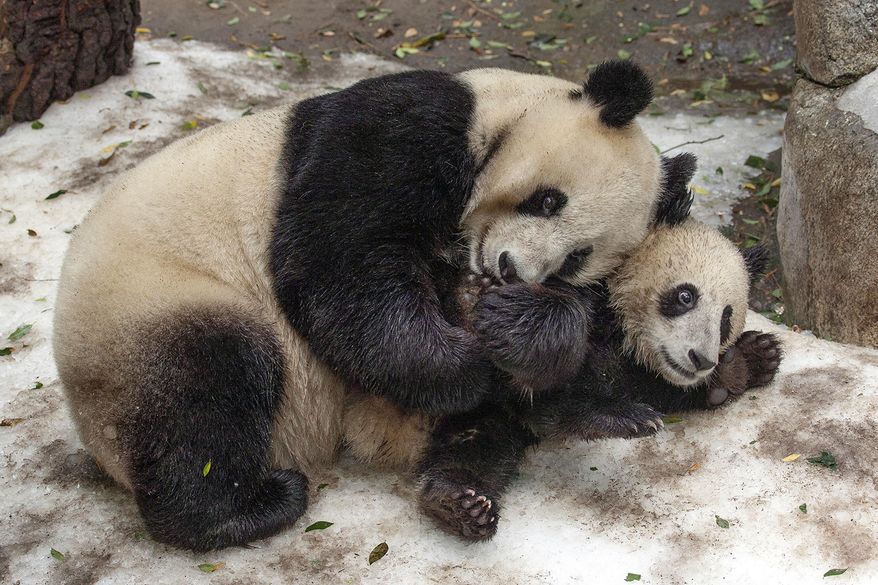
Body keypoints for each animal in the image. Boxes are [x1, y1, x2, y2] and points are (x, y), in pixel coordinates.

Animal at [53, 61, 680, 551]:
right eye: (548, 201)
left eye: (576, 258)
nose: (508, 270)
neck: (500, 112)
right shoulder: (399, 134)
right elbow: (340, 266)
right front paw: (466, 364)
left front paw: (517, 333)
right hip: (149, 305)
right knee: (206, 388)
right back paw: (247, 509)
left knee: (492, 427)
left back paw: (490, 478)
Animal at [344, 219, 783, 540]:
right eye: (686, 296)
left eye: (726, 318)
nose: (700, 359)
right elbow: (551, 377)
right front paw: (618, 415)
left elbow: (650, 383)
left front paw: (752, 358)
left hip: (476, 418)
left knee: (474, 449)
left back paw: (460, 504)